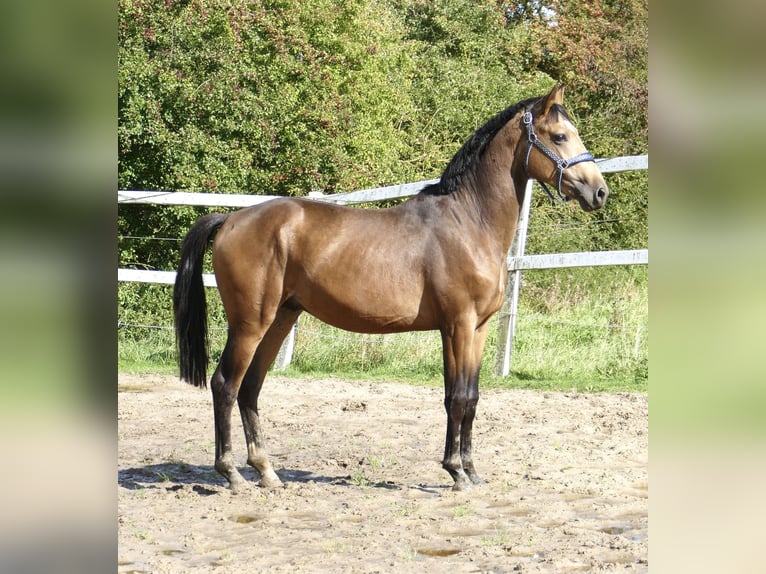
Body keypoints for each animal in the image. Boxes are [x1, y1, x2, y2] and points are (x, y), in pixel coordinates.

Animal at [174, 85, 612, 496]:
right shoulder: (457, 325)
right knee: (225, 385)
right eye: (559, 136)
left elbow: (471, 398)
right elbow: (455, 397)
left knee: (250, 388)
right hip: (250, 323)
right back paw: (231, 474)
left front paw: (472, 471)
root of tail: (232, 218)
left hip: (281, 318)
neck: (469, 222)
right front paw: (455, 471)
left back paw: (266, 472)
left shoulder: (479, 328)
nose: (599, 192)